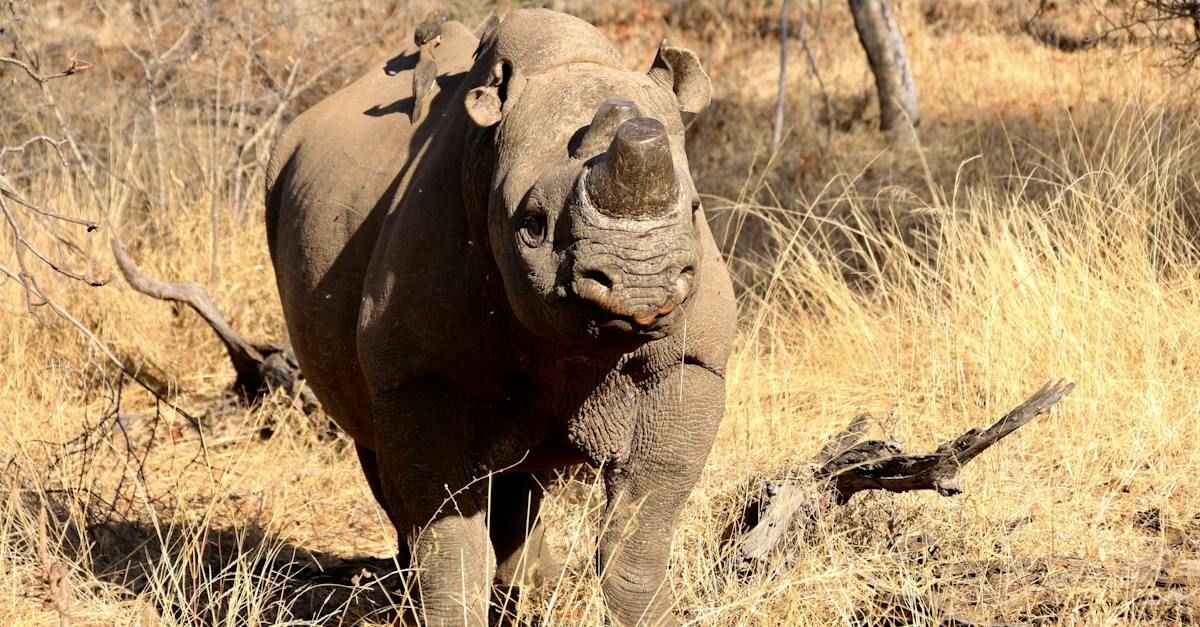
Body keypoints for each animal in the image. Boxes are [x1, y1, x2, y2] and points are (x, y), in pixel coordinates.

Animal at [265, 9, 735, 625]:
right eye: (532, 225)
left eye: (696, 209)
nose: (638, 284)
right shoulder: (420, 375)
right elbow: (447, 538)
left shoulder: (691, 360)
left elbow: (640, 528)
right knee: (379, 458)